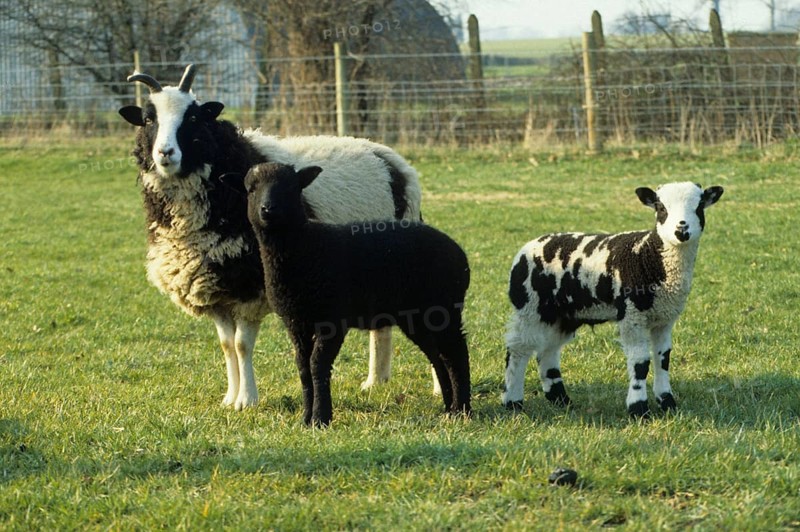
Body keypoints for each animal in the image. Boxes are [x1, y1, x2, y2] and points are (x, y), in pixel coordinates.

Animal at [118, 64, 427, 410]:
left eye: (194, 118)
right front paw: (229, 398)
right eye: (148, 119)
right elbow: (226, 345)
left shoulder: (251, 288)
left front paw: (246, 400)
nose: (165, 153)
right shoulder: (217, 286)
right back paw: (376, 381)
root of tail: (387, 155)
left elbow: (241, 345)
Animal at [244, 162, 471, 427]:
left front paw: (321, 418)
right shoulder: (295, 322)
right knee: (438, 356)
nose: (268, 209)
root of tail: (460, 255)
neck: (304, 247)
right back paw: (449, 409)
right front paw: (306, 418)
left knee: (455, 353)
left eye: (291, 187)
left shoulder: (332, 321)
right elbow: (302, 367)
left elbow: (317, 365)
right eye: (251, 189)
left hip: (444, 309)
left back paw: (462, 410)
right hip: (418, 318)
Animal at [502, 182, 724, 417]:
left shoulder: (664, 318)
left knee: (547, 352)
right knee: (518, 350)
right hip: (530, 307)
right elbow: (640, 363)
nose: (681, 231)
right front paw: (639, 408)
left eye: (699, 207)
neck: (650, 254)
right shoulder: (632, 315)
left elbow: (663, 359)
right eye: (661, 208)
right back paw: (513, 402)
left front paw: (667, 403)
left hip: (562, 314)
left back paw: (560, 400)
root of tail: (528, 247)